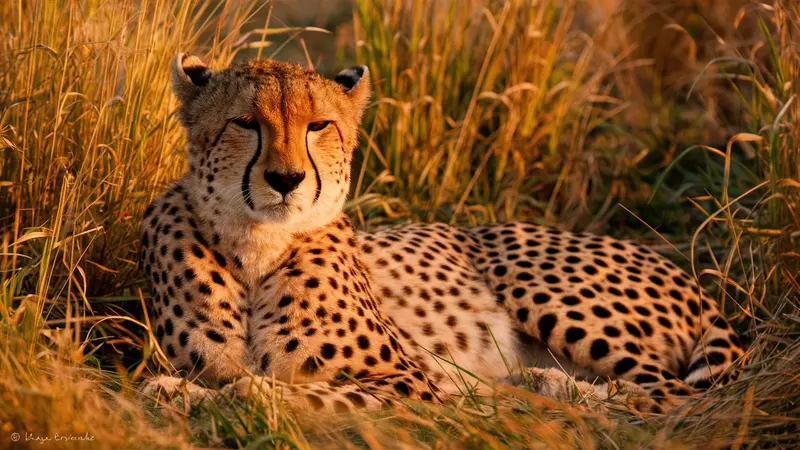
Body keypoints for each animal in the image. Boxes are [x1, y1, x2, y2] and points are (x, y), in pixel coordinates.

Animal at [138, 53, 744, 415]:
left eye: (318, 125)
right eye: (245, 123)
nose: (285, 180)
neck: (257, 248)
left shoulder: (407, 384)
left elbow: (304, 393)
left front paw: (246, 392)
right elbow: (196, 384)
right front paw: (177, 390)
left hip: (542, 290)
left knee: (669, 396)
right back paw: (540, 385)